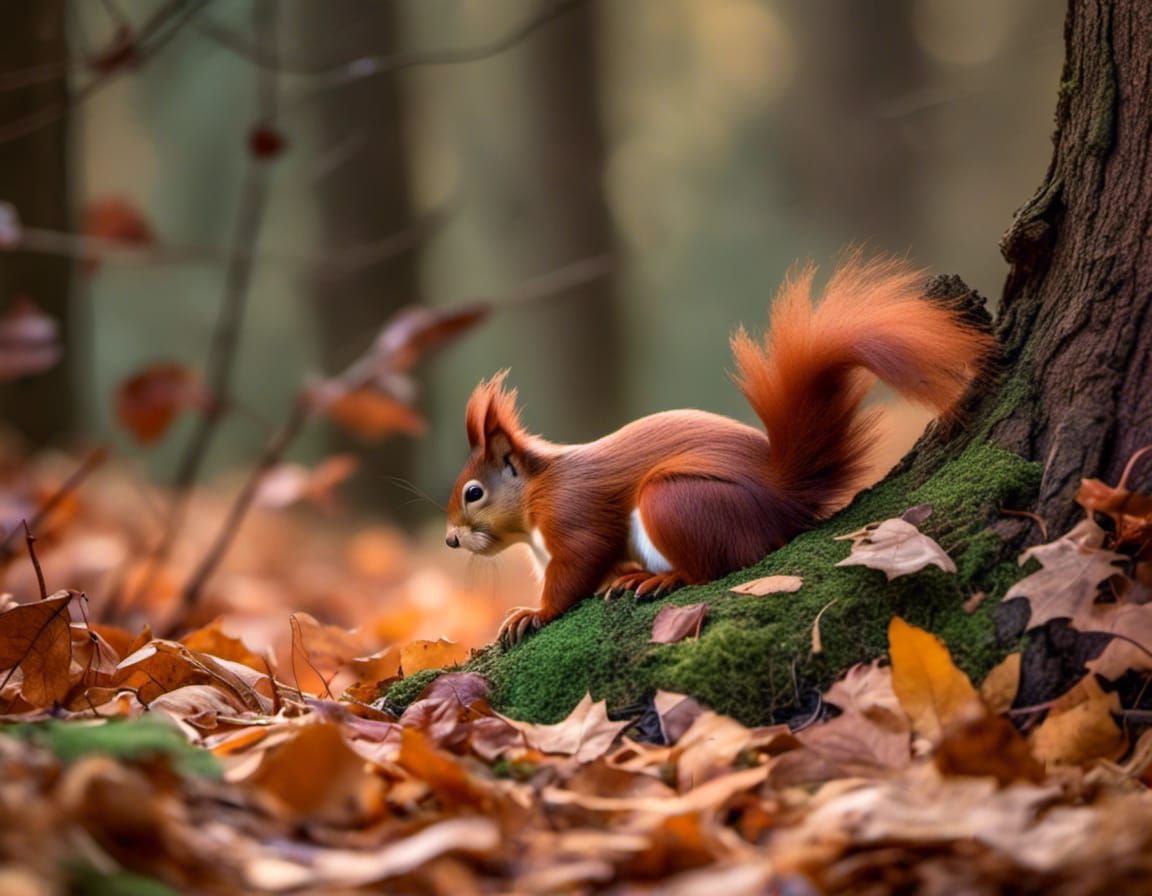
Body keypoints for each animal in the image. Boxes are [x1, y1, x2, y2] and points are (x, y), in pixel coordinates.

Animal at [445, 255, 993, 645]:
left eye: (474, 492)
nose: (450, 540)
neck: (538, 490)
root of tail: (781, 499)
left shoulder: (573, 514)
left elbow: (578, 567)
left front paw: (533, 612)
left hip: (675, 500)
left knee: (713, 567)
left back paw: (659, 580)